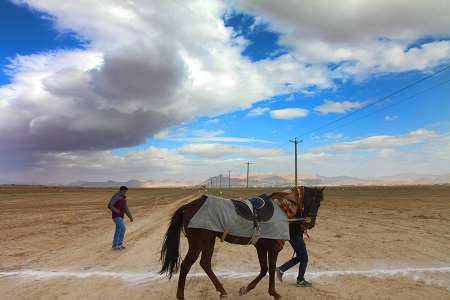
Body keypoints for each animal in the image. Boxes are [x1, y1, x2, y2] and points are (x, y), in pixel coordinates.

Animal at [160, 186, 326, 298]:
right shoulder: (272, 249)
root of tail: (187, 207)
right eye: (316, 203)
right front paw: (274, 293)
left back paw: (222, 291)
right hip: (198, 243)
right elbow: (271, 270)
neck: (283, 208)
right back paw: (181, 296)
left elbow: (264, 269)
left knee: (205, 263)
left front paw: (245, 289)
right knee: (186, 266)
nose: (309, 225)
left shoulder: (261, 247)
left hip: (209, 241)